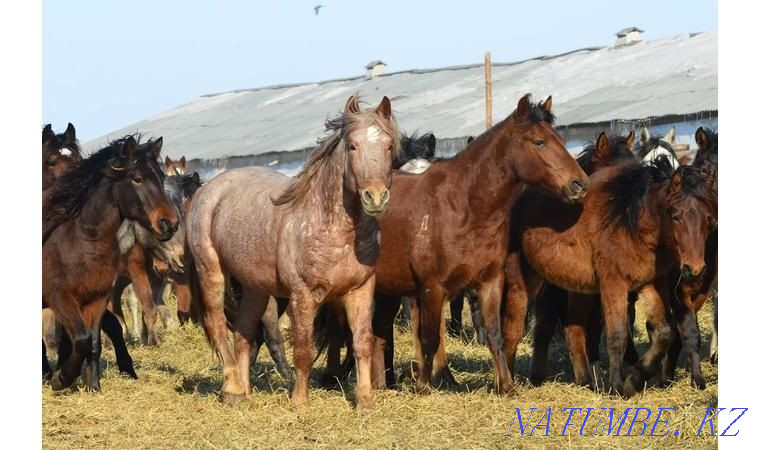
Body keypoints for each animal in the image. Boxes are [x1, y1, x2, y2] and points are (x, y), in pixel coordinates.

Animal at [43, 135, 179, 391]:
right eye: (137, 178)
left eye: (161, 176)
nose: (170, 223)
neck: (83, 242)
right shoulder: (60, 298)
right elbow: (82, 339)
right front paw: (61, 378)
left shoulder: (96, 299)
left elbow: (93, 343)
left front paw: (93, 387)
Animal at [186, 95, 399, 407]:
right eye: (352, 146)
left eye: (389, 145)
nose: (376, 197)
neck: (337, 229)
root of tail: (206, 191)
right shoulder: (303, 295)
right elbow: (303, 350)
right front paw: (300, 401)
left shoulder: (359, 290)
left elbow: (362, 344)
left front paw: (365, 401)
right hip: (211, 272)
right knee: (217, 326)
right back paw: (232, 388)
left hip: (255, 288)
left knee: (243, 333)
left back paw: (244, 392)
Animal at [367, 94, 589, 395]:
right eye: (539, 142)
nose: (580, 184)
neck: (464, 207)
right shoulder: (432, 288)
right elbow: (430, 338)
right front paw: (424, 386)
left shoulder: (490, 282)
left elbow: (496, 335)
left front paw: (506, 386)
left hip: (387, 289)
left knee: (379, 331)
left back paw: (381, 385)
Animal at [504, 154, 715, 396]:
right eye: (676, 216)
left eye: (708, 218)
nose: (695, 269)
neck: (628, 221)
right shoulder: (614, 284)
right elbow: (617, 336)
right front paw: (617, 386)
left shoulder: (651, 283)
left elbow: (665, 332)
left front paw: (634, 379)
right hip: (527, 282)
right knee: (518, 327)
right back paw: (510, 382)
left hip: (578, 287)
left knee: (571, 329)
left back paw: (585, 382)